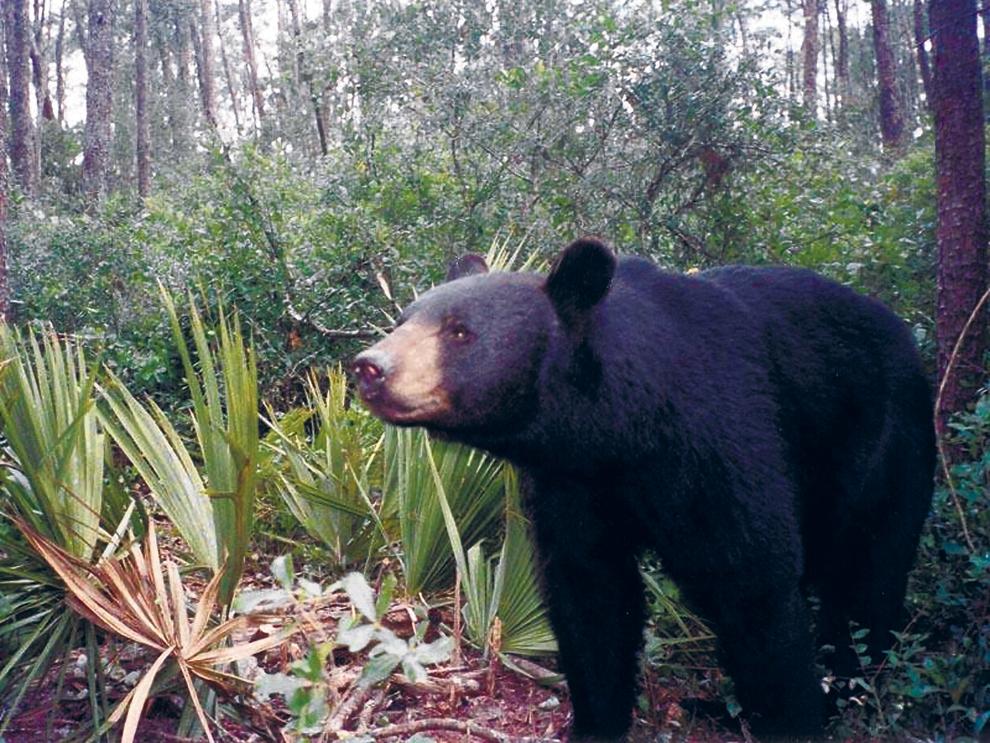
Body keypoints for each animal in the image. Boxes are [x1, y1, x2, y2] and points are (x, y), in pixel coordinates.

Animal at [351, 238, 935, 740]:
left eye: (459, 332)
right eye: (403, 319)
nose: (369, 367)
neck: (622, 428)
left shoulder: (722, 439)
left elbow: (756, 581)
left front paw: (792, 716)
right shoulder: (572, 483)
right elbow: (591, 594)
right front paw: (595, 723)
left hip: (881, 441)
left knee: (867, 573)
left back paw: (843, 687)